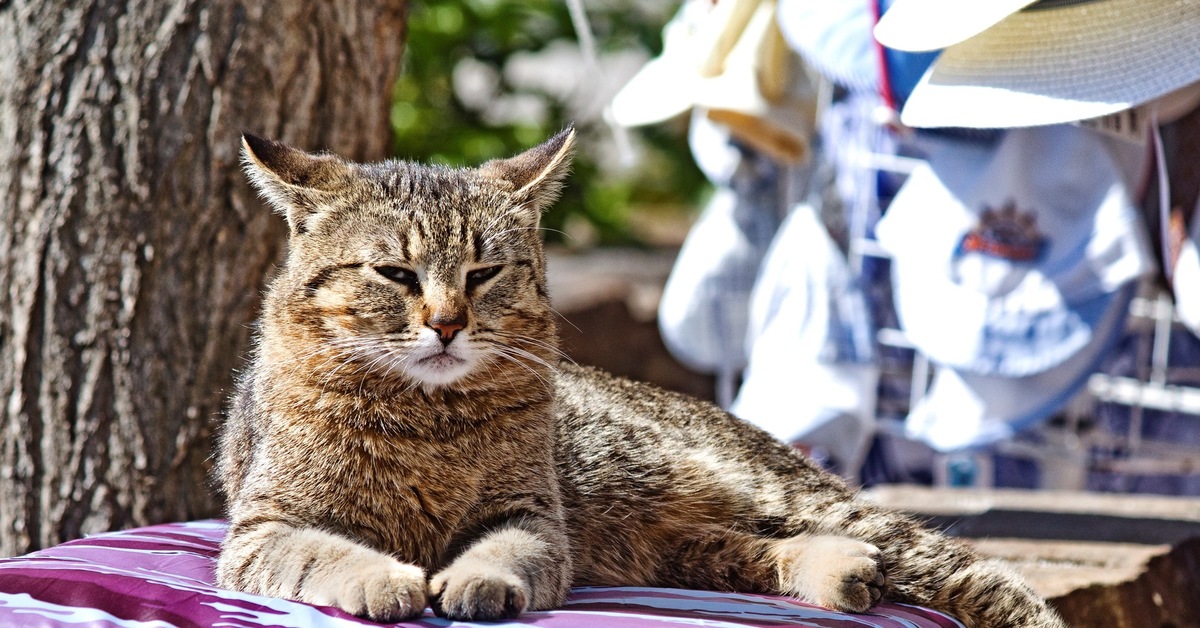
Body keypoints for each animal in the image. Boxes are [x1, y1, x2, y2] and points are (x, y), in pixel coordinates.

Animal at [211, 126, 1065, 624]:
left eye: (484, 274)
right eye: (394, 273)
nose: (448, 322)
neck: (426, 415)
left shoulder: (536, 519)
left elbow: (503, 553)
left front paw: (474, 580)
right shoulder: (263, 528)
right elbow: (323, 552)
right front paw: (381, 578)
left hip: (775, 497)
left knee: (987, 581)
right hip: (668, 546)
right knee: (747, 551)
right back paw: (840, 573)